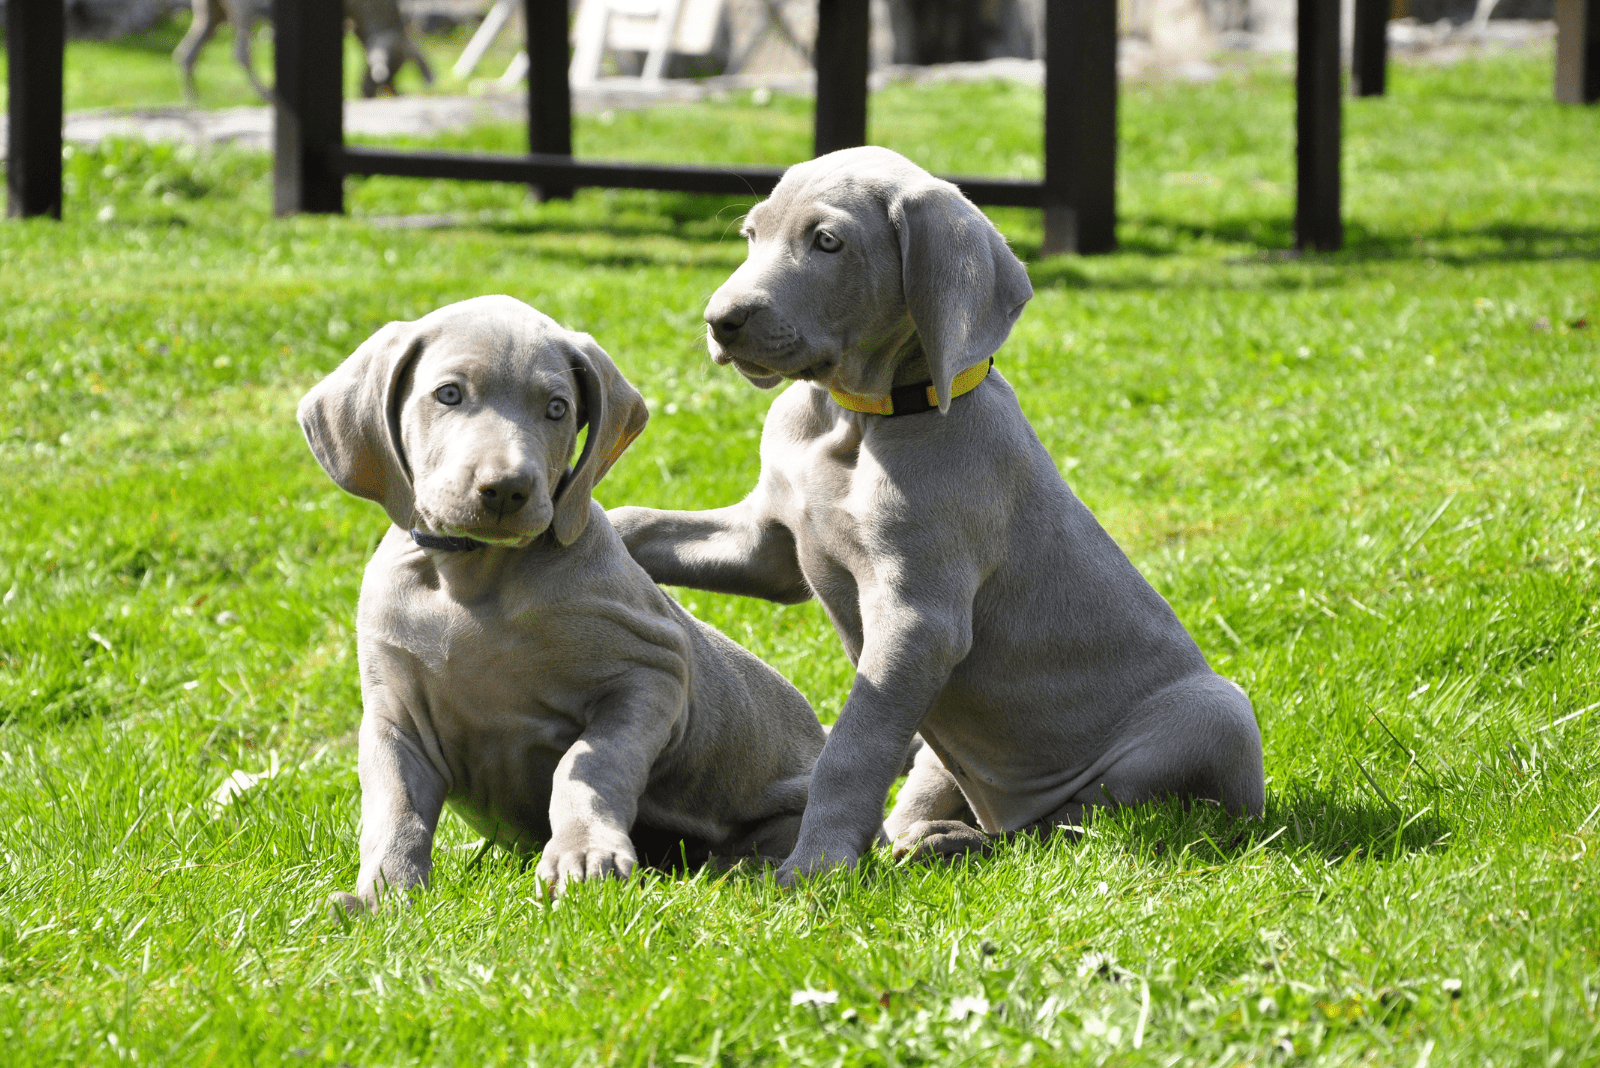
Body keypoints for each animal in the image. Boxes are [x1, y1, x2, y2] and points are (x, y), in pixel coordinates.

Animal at [299, 294, 825, 908]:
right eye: (448, 394)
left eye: (556, 408)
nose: (507, 489)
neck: (473, 579)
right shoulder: (394, 719)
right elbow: (394, 806)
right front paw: (384, 896)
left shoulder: (653, 675)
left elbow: (587, 766)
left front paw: (583, 854)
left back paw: (737, 868)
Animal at [608, 150, 1260, 882]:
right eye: (751, 235)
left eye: (827, 242)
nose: (722, 320)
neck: (858, 420)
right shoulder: (768, 544)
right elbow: (640, 521)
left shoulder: (919, 620)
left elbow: (852, 749)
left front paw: (815, 867)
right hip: (941, 755)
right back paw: (933, 837)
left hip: (1215, 715)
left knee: (1075, 826)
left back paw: (961, 842)